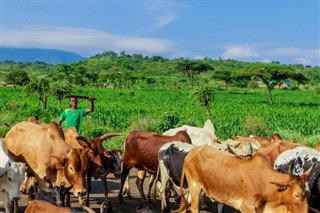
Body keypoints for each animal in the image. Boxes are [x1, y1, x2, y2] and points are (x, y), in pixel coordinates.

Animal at [176, 146, 312, 213]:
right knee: (194, 208)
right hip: (195, 186)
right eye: (297, 195)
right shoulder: (247, 208)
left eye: (309, 195)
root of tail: (192, 152)